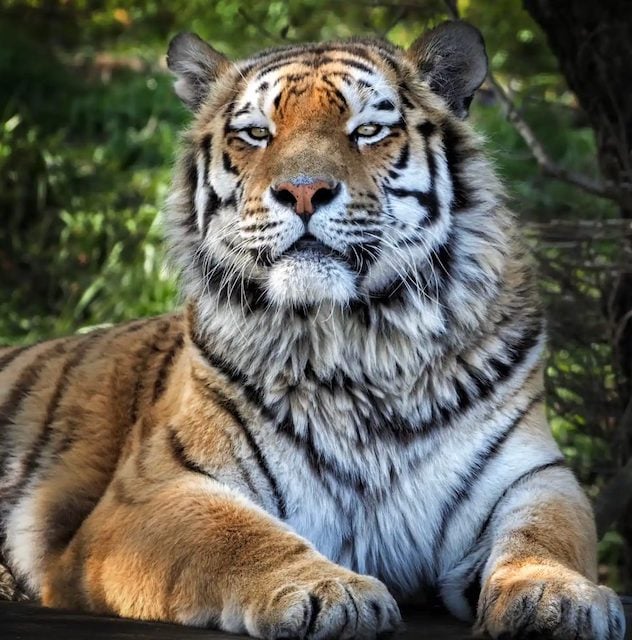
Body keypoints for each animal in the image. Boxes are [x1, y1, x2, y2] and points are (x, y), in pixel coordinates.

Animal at [0, 19, 626, 640]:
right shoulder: (153, 491)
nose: (303, 191)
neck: (359, 341)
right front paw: (328, 591)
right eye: (256, 134)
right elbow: (234, 536)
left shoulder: (532, 476)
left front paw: (557, 594)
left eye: (367, 130)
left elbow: (548, 534)